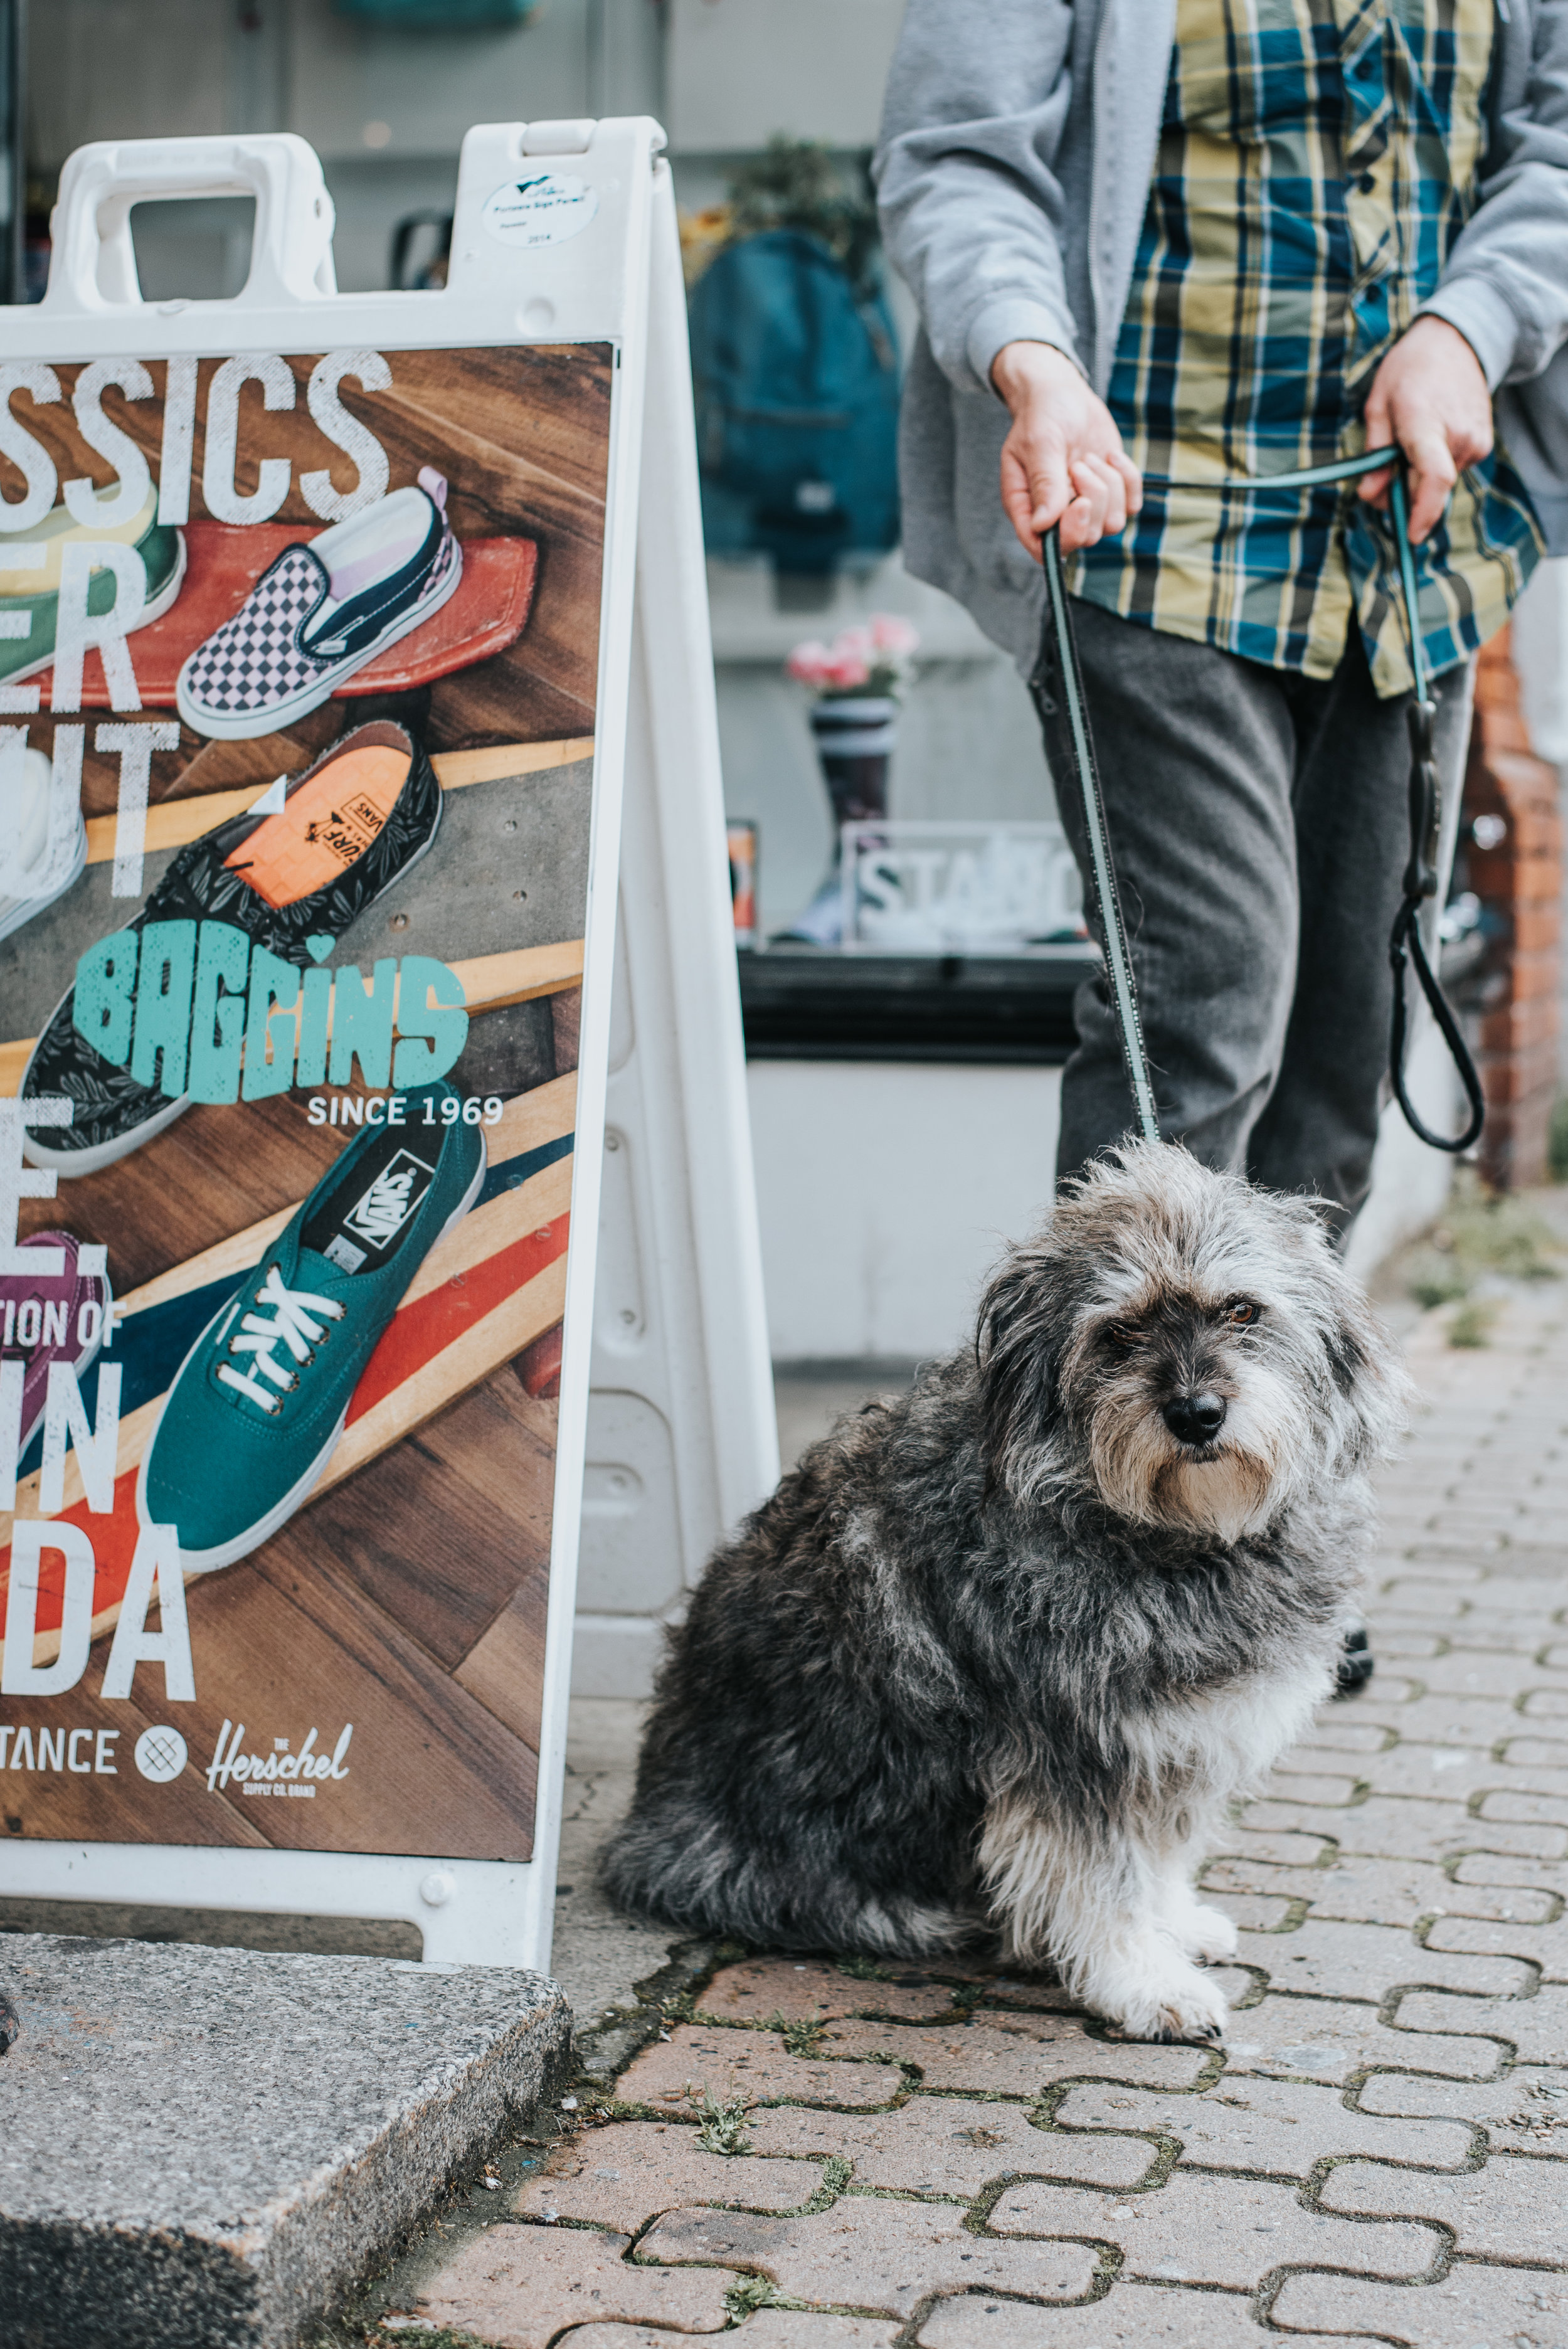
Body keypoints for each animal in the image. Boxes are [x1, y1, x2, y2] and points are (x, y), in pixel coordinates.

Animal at [605, 1142, 1408, 2039]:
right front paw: (1144, 1981)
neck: (1160, 1534)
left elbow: (1160, 1851)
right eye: (1118, 1333)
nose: (1197, 1412)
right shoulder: (1069, 1753)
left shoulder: (1175, 1738)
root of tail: (641, 1838)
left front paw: (1174, 1924)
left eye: (1242, 1309)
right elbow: (1106, 1878)